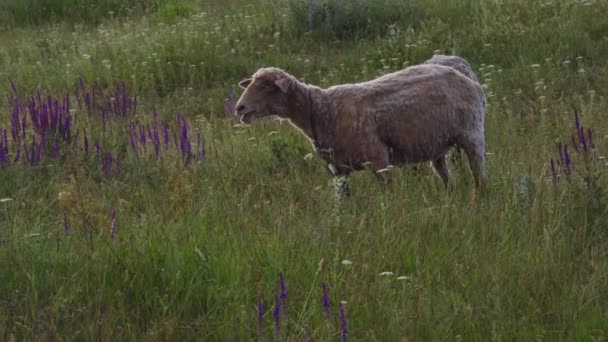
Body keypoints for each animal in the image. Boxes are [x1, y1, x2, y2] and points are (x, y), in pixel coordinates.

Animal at [235, 63, 486, 187]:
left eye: (268, 86)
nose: (239, 108)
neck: (320, 110)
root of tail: (468, 78)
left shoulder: (379, 159)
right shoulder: (339, 169)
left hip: (472, 134)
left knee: (480, 175)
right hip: (436, 145)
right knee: (446, 177)